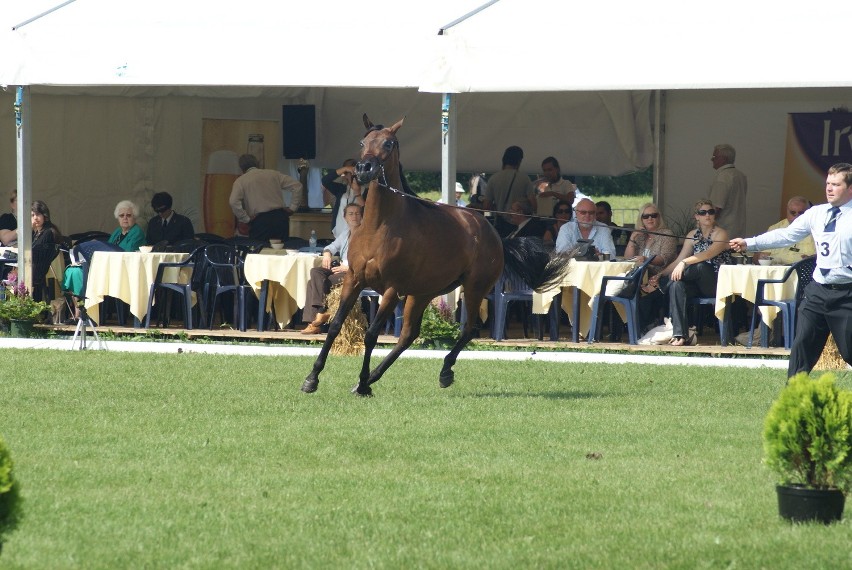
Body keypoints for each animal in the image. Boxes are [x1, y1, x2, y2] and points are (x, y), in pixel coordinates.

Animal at [302, 112, 568, 392]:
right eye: (362, 142)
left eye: (389, 143)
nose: (364, 169)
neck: (379, 225)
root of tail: (494, 234)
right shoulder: (354, 279)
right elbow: (335, 326)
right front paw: (312, 378)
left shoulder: (392, 289)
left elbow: (372, 334)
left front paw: (363, 385)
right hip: (422, 293)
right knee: (409, 335)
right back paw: (376, 375)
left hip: (473, 288)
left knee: (468, 330)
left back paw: (444, 371)